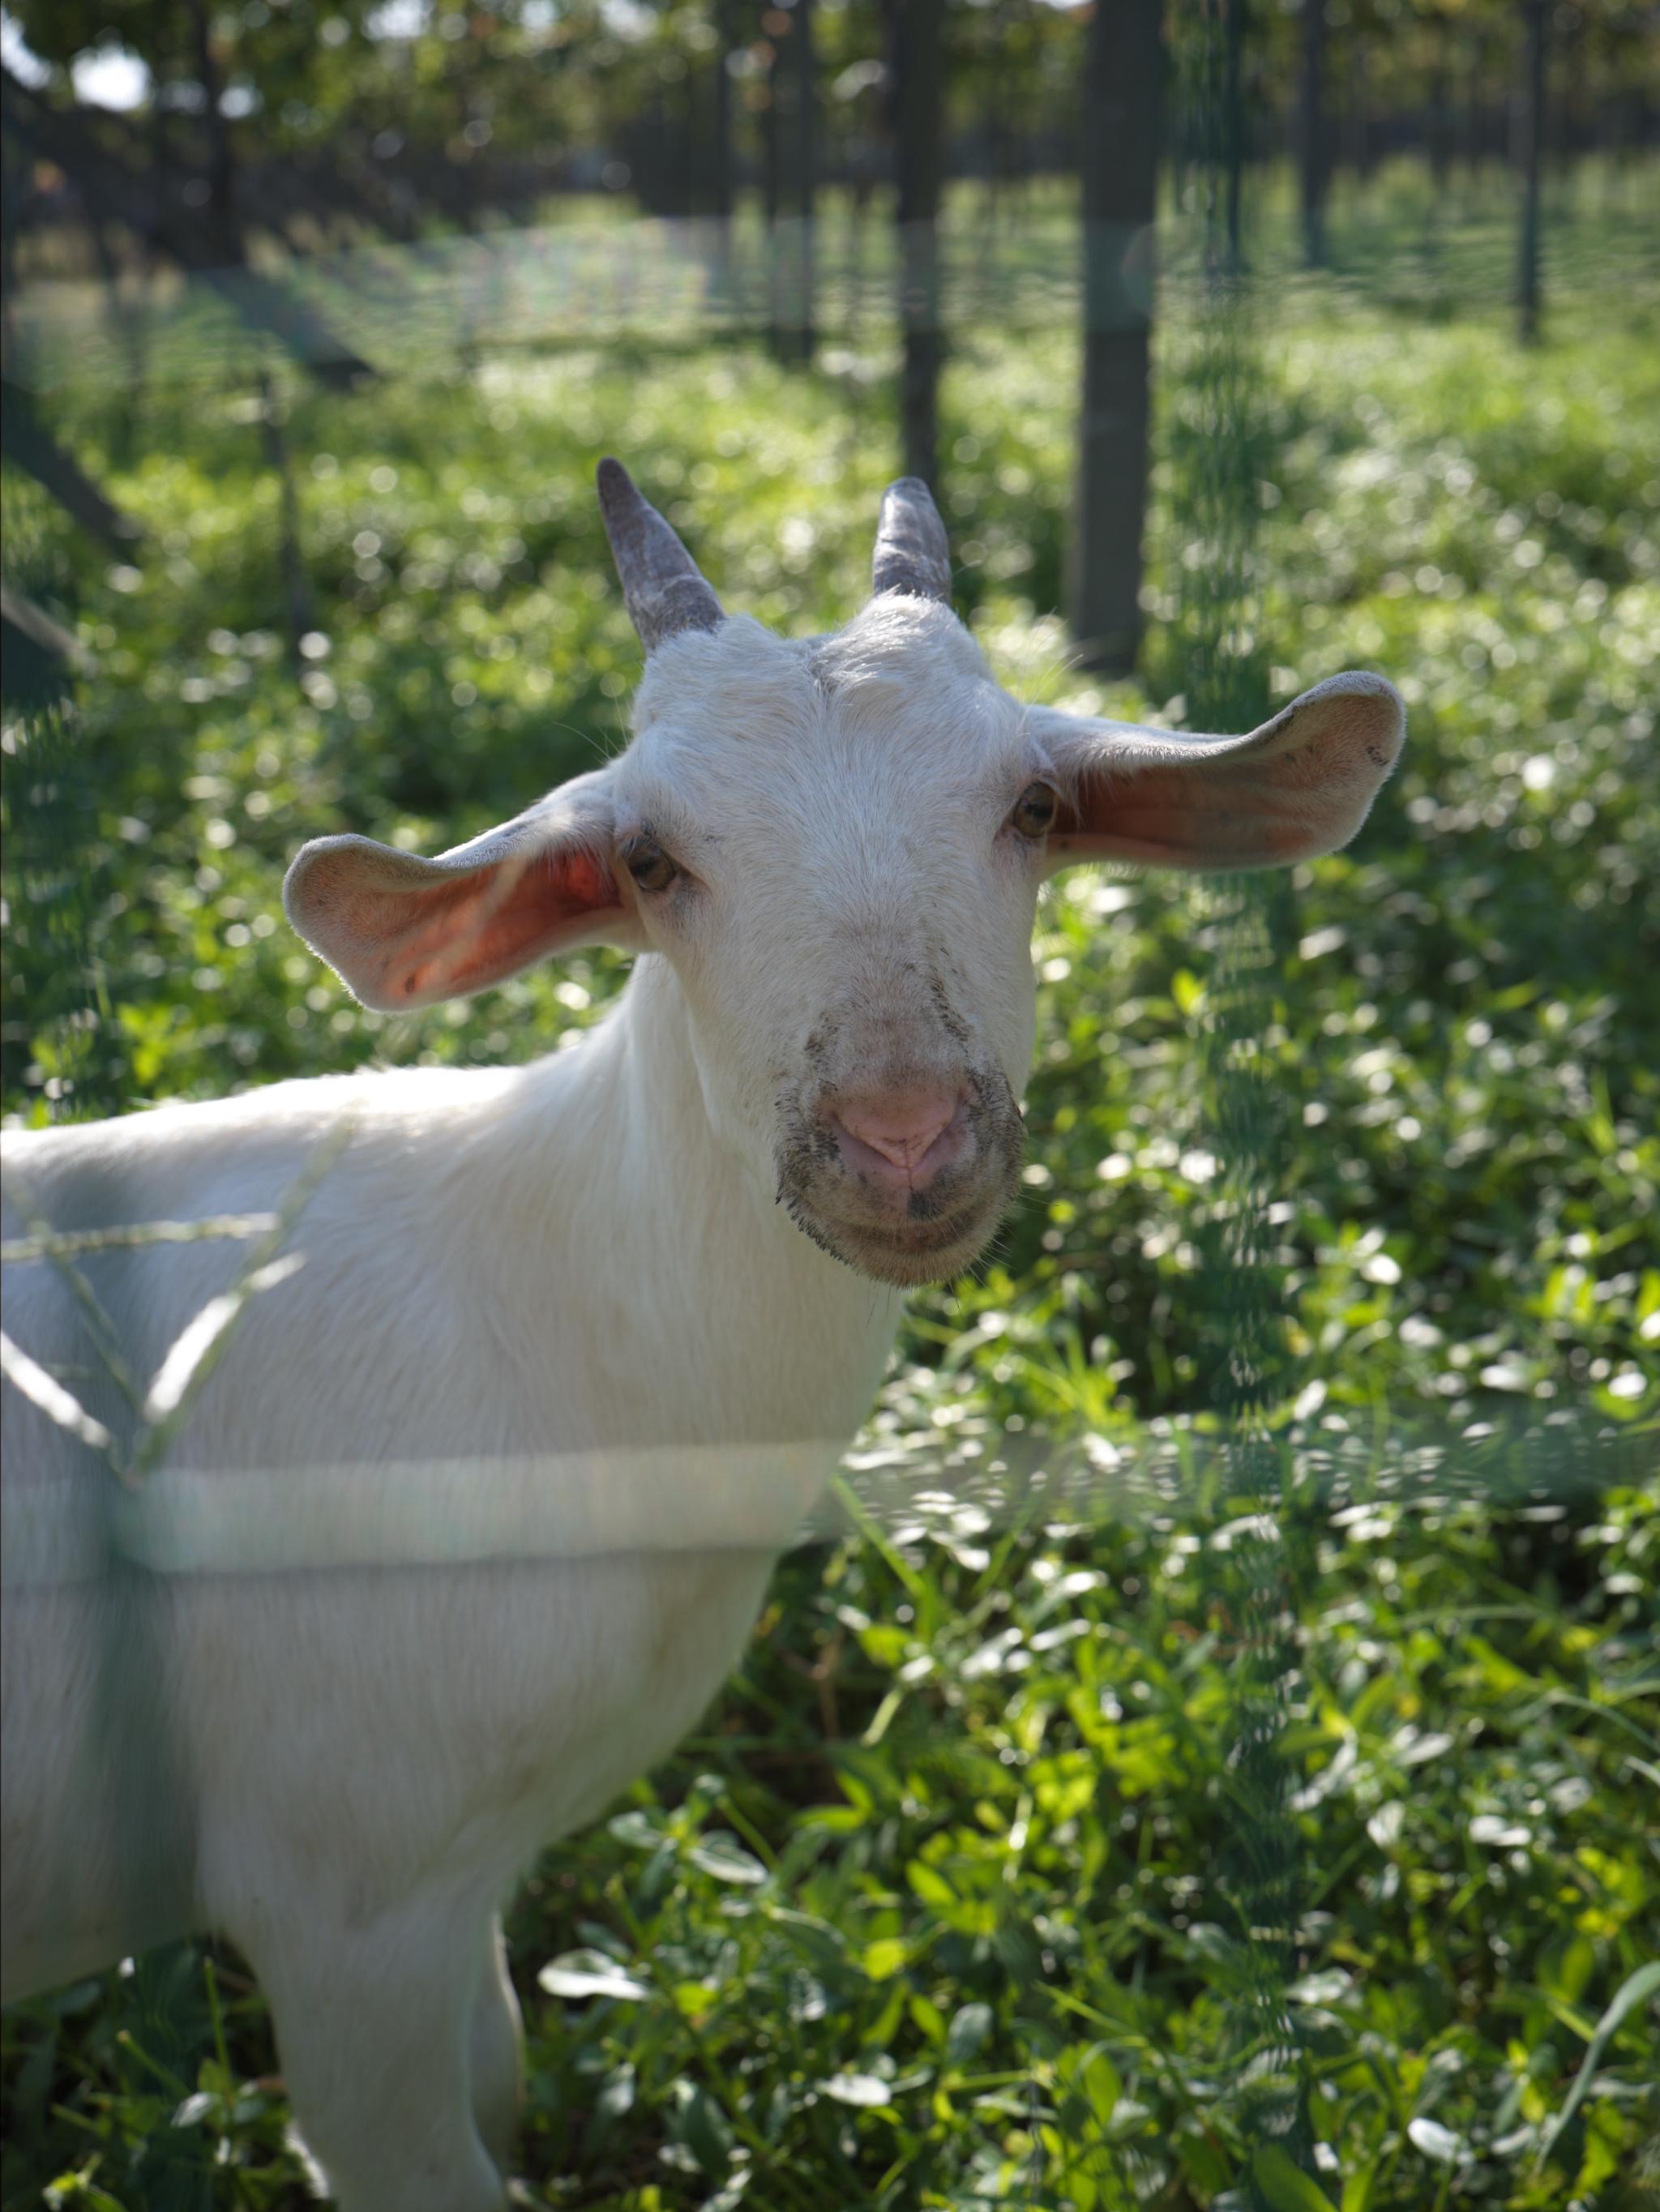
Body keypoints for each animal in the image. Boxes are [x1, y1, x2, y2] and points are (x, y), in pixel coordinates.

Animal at [0, 457, 1407, 2203]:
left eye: (1031, 807)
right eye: (650, 859)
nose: (901, 1137)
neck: (551, 1322)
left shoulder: (454, 1885)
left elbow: (502, 2080)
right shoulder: (340, 1892)